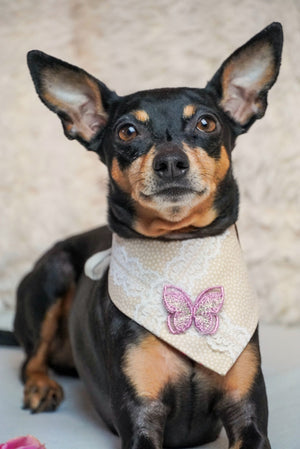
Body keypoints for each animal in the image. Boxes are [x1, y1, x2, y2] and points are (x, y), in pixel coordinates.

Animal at [11, 21, 282, 448]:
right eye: (127, 131)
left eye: (207, 123)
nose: (170, 162)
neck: (180, 253)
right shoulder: (141, 418)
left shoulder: (247, 412)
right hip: (54, 274)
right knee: (30, 361)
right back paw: (42, 386)